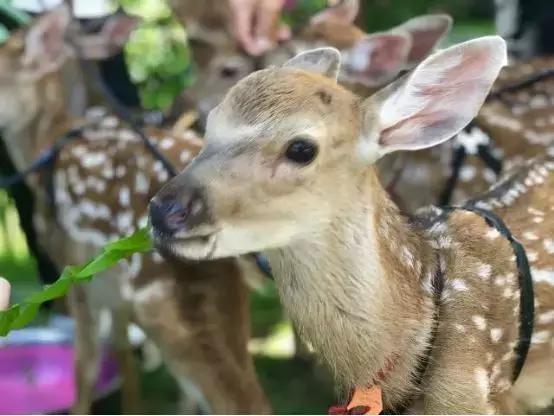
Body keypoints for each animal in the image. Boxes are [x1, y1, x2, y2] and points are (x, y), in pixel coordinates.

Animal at [0, 8, 270, 414]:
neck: (45, 142)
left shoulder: (73, 270)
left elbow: (86, 365)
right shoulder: (110, 284)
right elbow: (123, 351)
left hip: (163, 301)